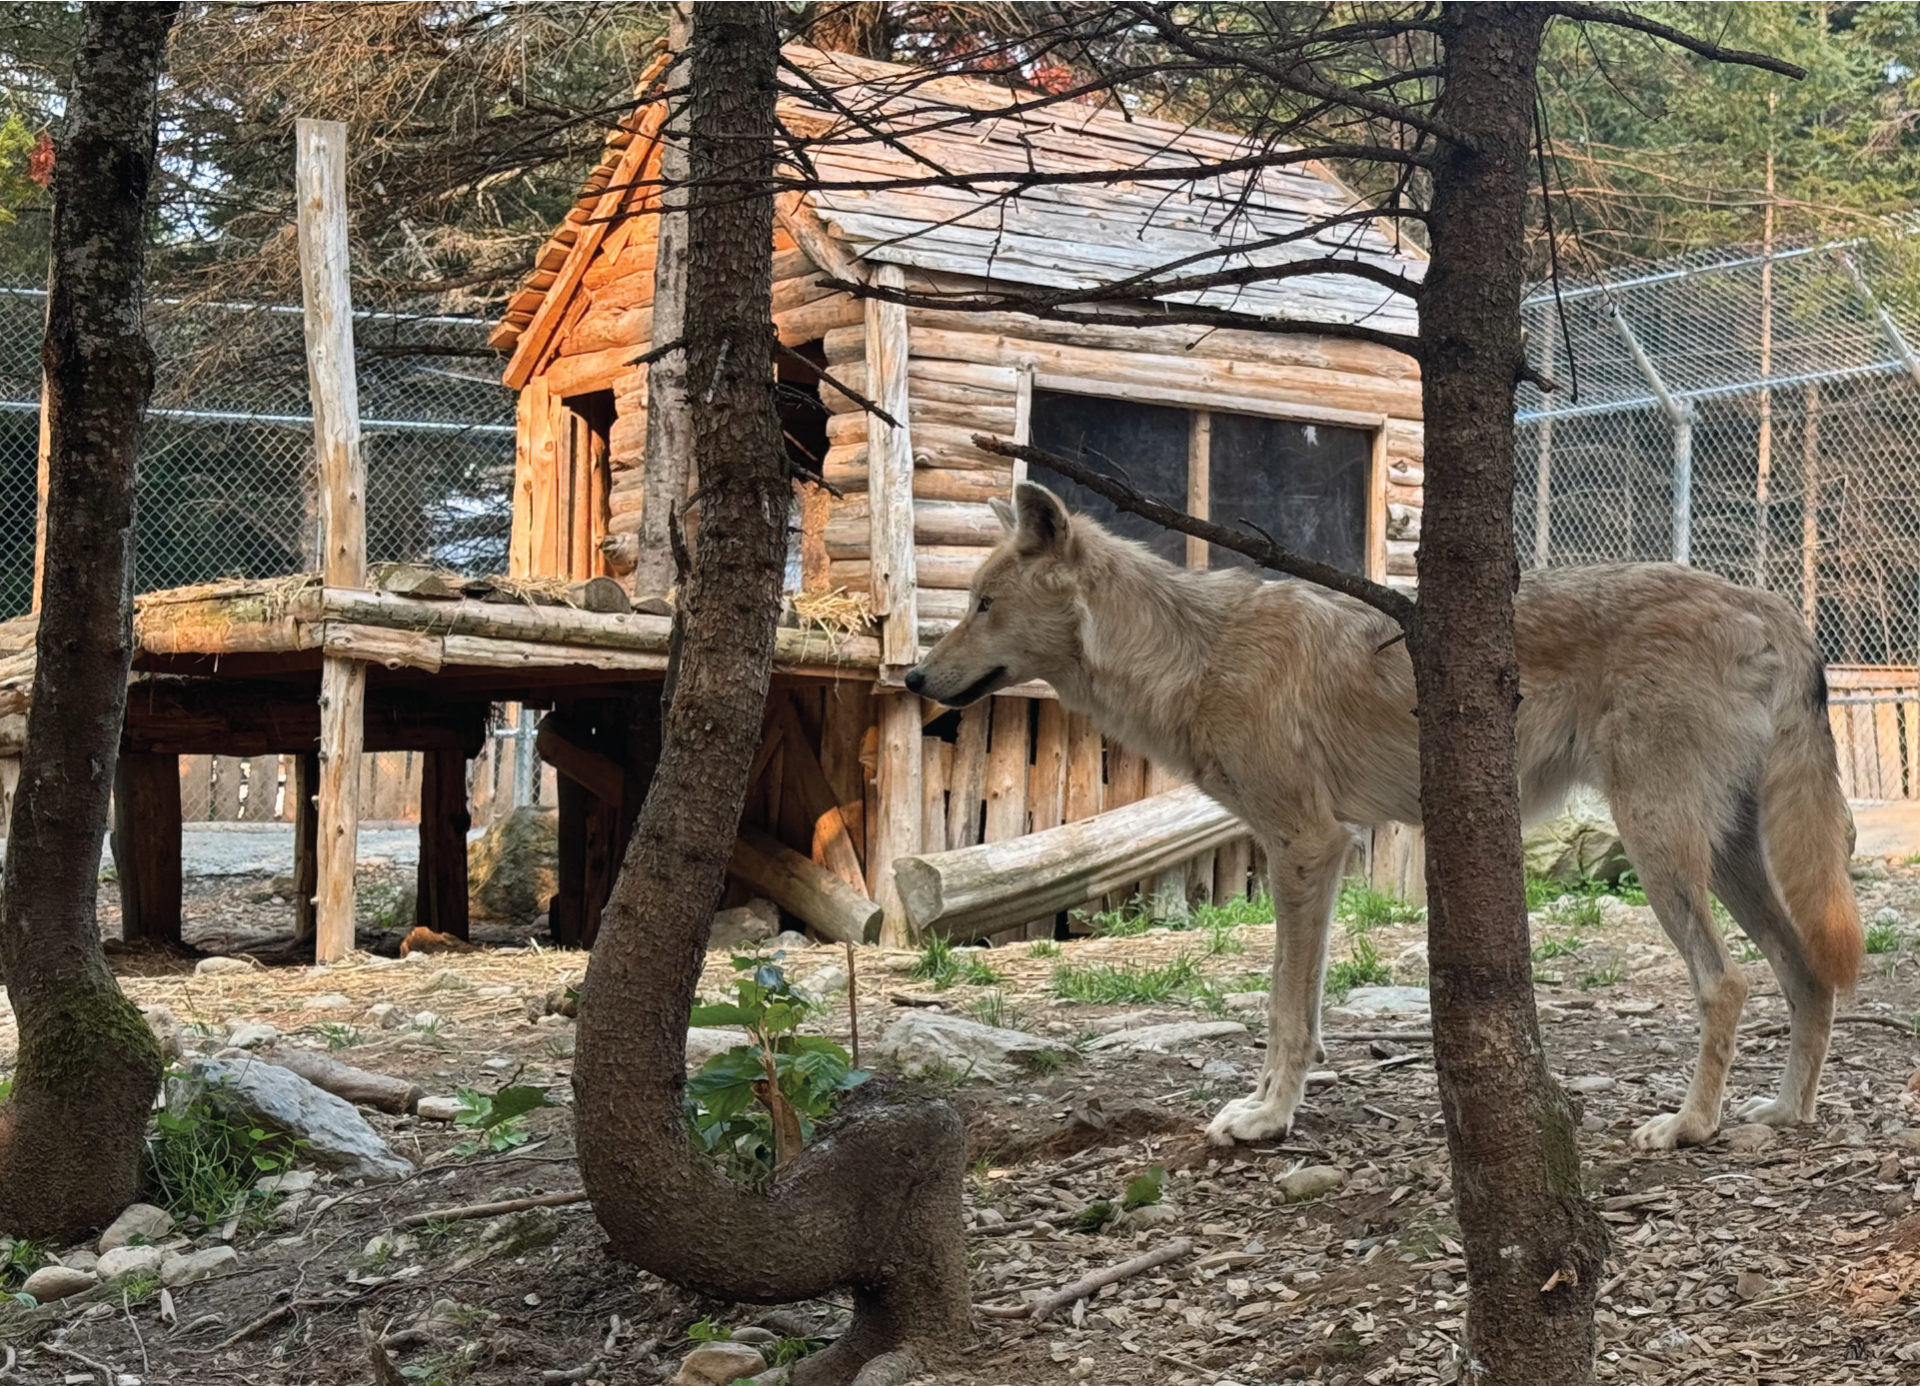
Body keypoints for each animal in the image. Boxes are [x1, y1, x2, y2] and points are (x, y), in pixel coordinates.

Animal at [906, 479, 1866, 1151]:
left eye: (982, 605)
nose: (912, 677)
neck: (1191, 653)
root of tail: (1773, 606)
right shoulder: (1324, 855)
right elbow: (1307, 1006)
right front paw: (1276, 1107)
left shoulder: (1306, 845)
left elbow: (1282, 1008)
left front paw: (1265, 1122)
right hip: (1733, 858)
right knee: (1806, 974)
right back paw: (1785, 1112)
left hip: (1658, 848)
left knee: (1728, 982)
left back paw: (1690, 1127)